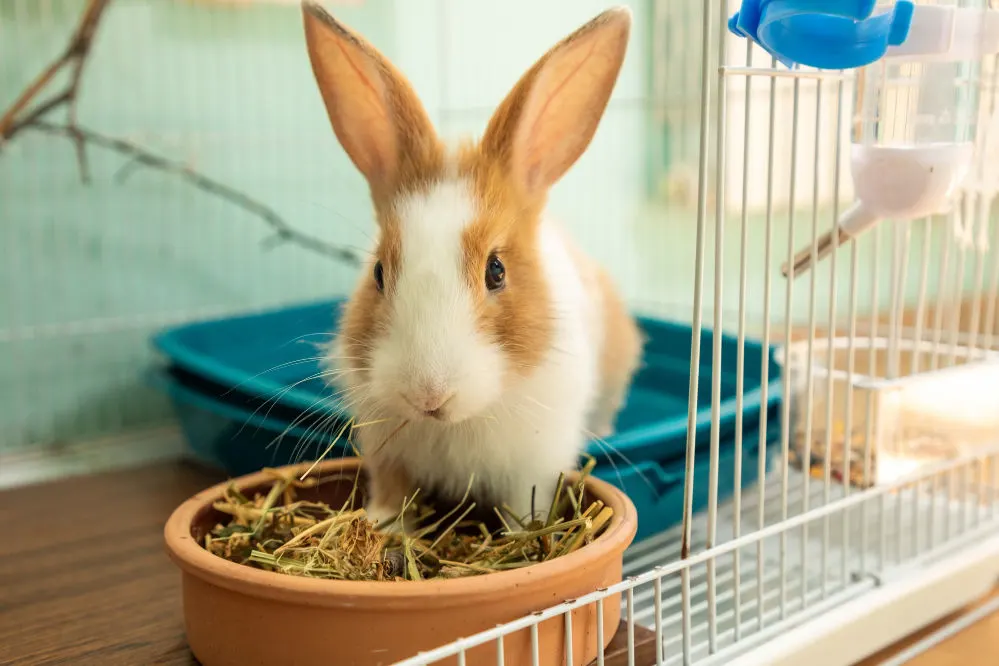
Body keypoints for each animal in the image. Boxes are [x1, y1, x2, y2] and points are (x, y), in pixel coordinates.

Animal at [300, 1, 644, 528]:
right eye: (378, 272)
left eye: (496, 271)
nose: (428, 395)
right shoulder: (387, 452)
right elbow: (393, 494)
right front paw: (381, 526)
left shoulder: (533, 467)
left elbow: (523, 509)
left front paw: (524, 536)